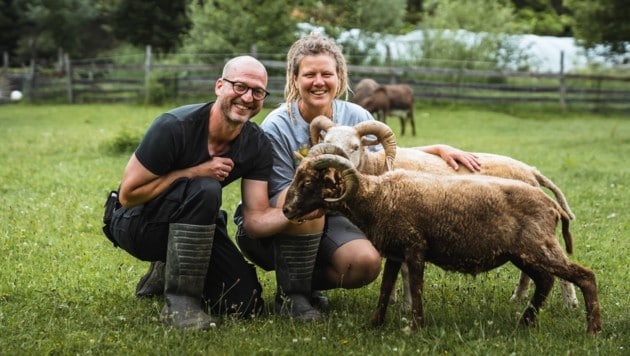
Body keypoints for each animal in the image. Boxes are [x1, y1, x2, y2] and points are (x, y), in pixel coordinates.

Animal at [284, 143, 604, 336]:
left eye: (308, 183)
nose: (286, 210)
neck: (377, 197)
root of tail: (552, 205)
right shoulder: (395, 253)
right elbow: (385, 289)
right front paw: (374, 324)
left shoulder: (415, 248)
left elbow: (416, 288)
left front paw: (415, 328)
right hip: (523, 253)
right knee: (545, 281)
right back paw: (525, 322)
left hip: (538, 247)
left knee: (584, 276)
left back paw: (592, 330)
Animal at [308, 116, 580, 308]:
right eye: (324, 142)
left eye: (355, 146)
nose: (330, 171)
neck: (375, 170)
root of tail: (531, 171)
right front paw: (393, 298)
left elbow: (405, 269)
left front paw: (406, 304)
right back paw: (519, 297)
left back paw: (570, 303)